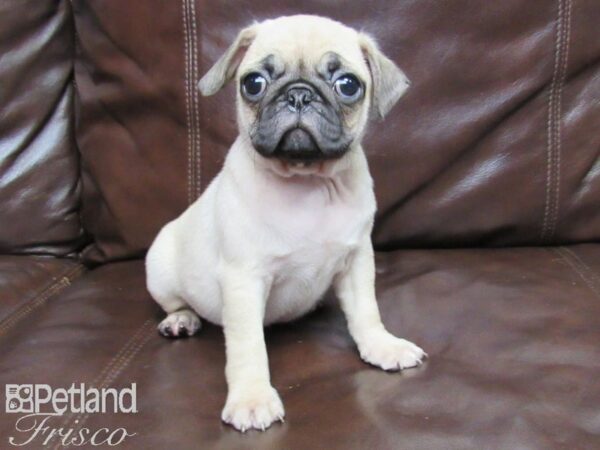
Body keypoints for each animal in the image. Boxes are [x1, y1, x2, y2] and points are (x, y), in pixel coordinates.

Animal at [146, 14, 426, 432]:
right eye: (253, 83)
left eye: (348, 85)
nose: (298, 95)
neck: (307, 182)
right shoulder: (244, 280)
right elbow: (248, 347)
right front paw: (251, 398)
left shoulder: (357, 261)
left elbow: (366, 311)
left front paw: (381, 345)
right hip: (160, 267)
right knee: (177, 302)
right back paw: (180, 320)